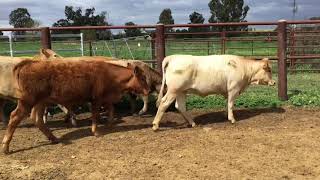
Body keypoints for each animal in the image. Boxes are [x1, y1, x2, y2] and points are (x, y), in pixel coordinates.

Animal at [1, 58, 149, 153]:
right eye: (142, 78)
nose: (148, 90)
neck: (109, 75)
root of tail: (30, 63)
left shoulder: (105, 98)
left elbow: (111, 108)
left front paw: (110, 123)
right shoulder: (96, 99)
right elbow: (95, 115)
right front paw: (96, 132)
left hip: (40, 102)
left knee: (37, 119)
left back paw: (53, 138)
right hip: (27, 101)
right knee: (14, 117)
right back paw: (5, 147)